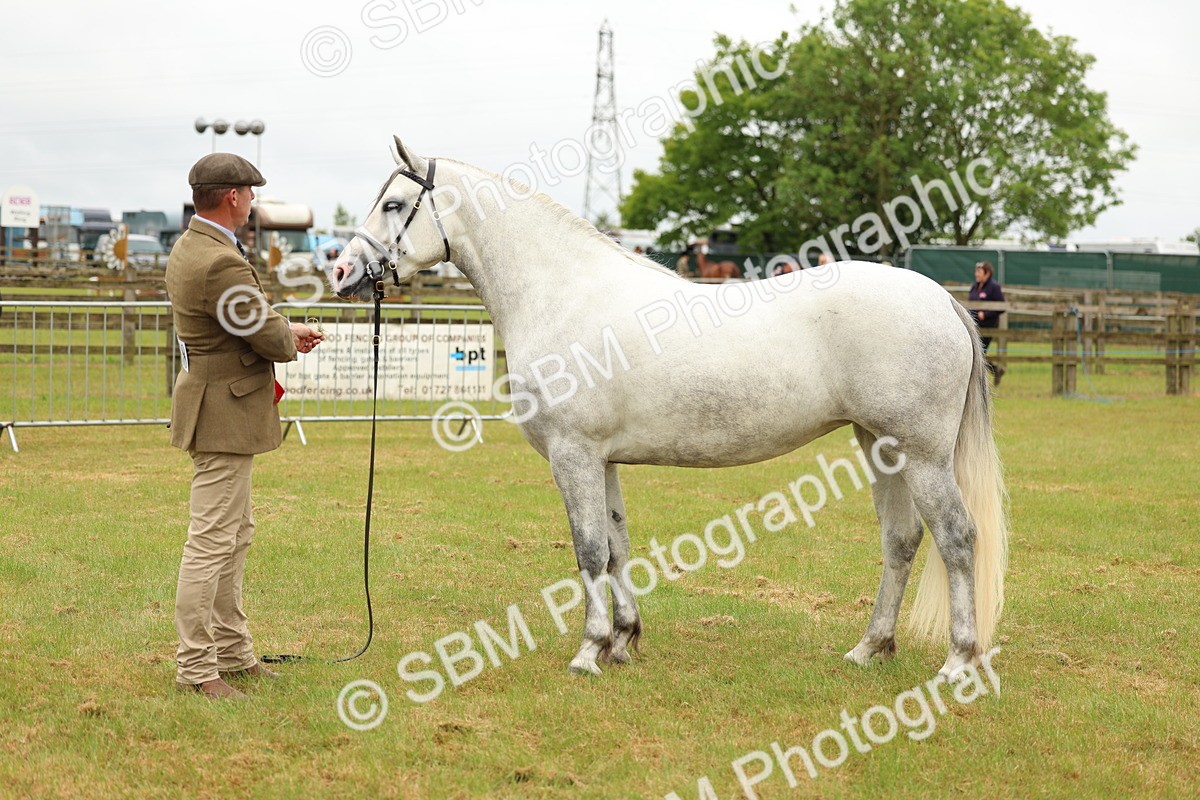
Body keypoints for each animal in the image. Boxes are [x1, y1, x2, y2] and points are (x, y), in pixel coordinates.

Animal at [329, 137, 1008, 680]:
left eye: (394, 204)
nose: (340, 271)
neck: (564, 291)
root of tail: (940, 300)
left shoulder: (573, 454)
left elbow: (588, 550)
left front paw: (589, 651)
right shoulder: (602, 459)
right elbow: (616, 545)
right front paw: (623, 641)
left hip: (921, 455)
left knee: (956, 537)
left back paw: (958, 661)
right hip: (879, 446)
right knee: (901, 540)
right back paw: (870, 647)